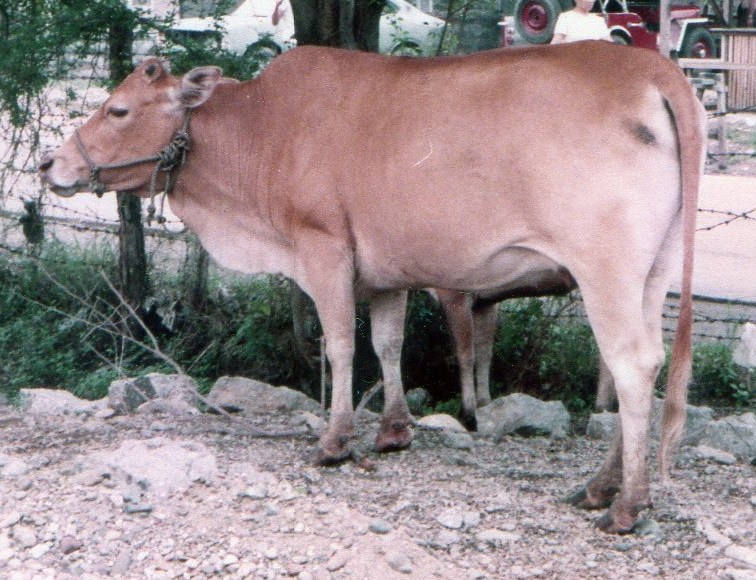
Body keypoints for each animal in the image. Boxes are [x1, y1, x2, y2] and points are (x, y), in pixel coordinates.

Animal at [39, 40, 704, 532]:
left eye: (119, 109)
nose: (50, 164)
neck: (261, 130)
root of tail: (650, 67)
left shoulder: (323, 248)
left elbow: (340, 345)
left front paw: (335, 441)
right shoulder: (387, 271)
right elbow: (387, 344)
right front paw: (392, 432)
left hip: (606, 270)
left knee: (631, 364)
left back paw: (626, 504)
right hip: (653, 274)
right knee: (636, 365)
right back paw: (601, 486)